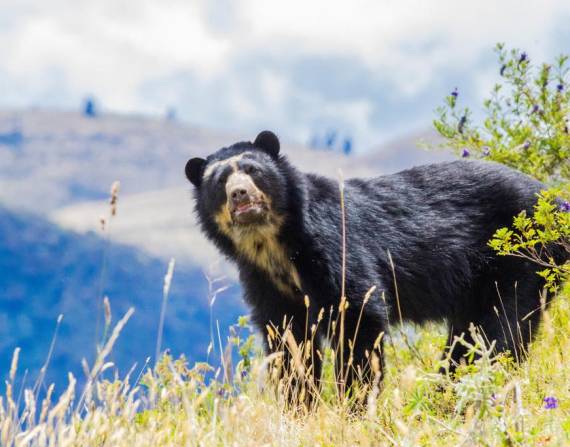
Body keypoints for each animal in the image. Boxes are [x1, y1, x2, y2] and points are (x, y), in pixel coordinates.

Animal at [185, 130, 556, 396]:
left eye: (253, 171)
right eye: (219, 181)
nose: (240, 195)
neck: (273, 243)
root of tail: (554, 199)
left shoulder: (334, 245)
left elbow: (357, 318)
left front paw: (355, 404)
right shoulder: (264, 280)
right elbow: (289, 342)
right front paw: (298, 406)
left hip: (517, 260)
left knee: (499, 331)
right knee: (469, 337)